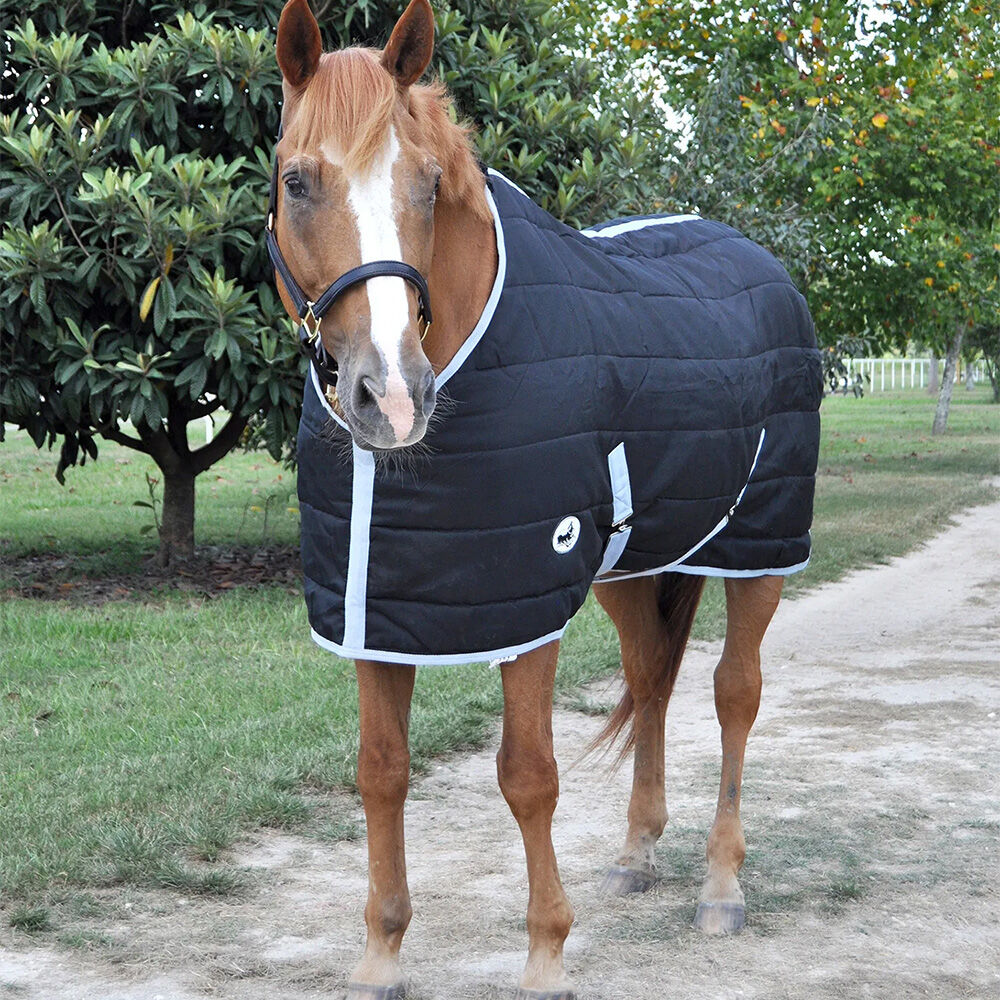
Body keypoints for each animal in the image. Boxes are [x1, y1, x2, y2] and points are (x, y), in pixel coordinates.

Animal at [267, 2, 822, 997]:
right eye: (297, 181)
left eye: (425, 184)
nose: (391, 397)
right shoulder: (378, 607)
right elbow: (381, 770)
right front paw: (380, 954)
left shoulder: (526, 605)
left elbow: (528, 775)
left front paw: (546, 953)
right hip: (631, 567)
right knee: (651, 677)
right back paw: (638, 854)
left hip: (759, 547)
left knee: (735, 694)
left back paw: (721, 885)